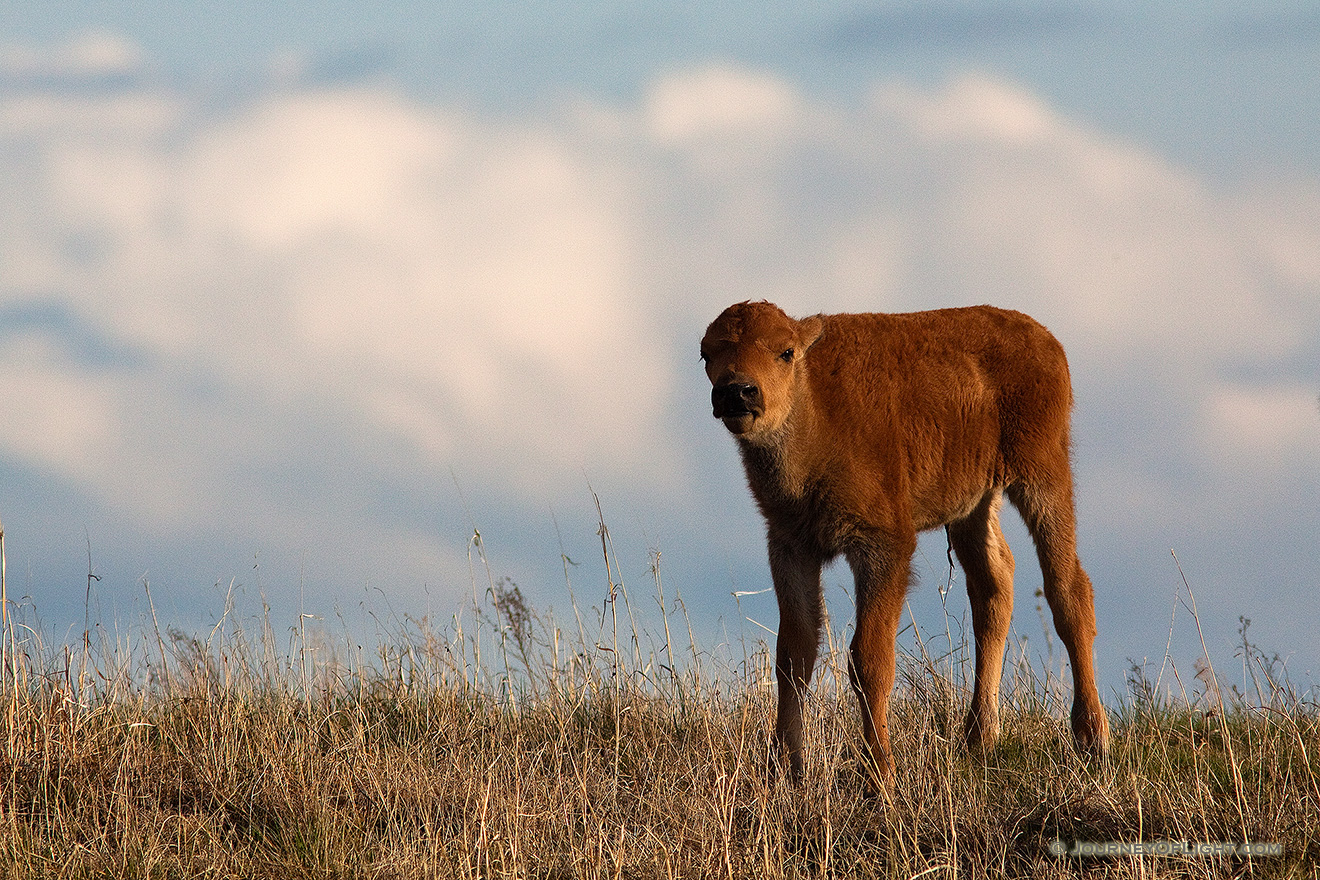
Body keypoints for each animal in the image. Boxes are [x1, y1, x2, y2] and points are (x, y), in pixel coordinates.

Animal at [707, 303, 1108, 791]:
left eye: (785, 352)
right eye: (708, 353)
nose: (738, 391)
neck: (815, 405)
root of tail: (1044, 338)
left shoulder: (882, 547)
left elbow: (870, 660)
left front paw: (880, 776)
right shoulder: (790, 546)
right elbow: (793, 655)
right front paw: (785, 771)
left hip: (1043, 475)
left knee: (1068, 589)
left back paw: (1092, 739)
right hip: (974, 505)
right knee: (993, 589)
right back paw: (978, 740)